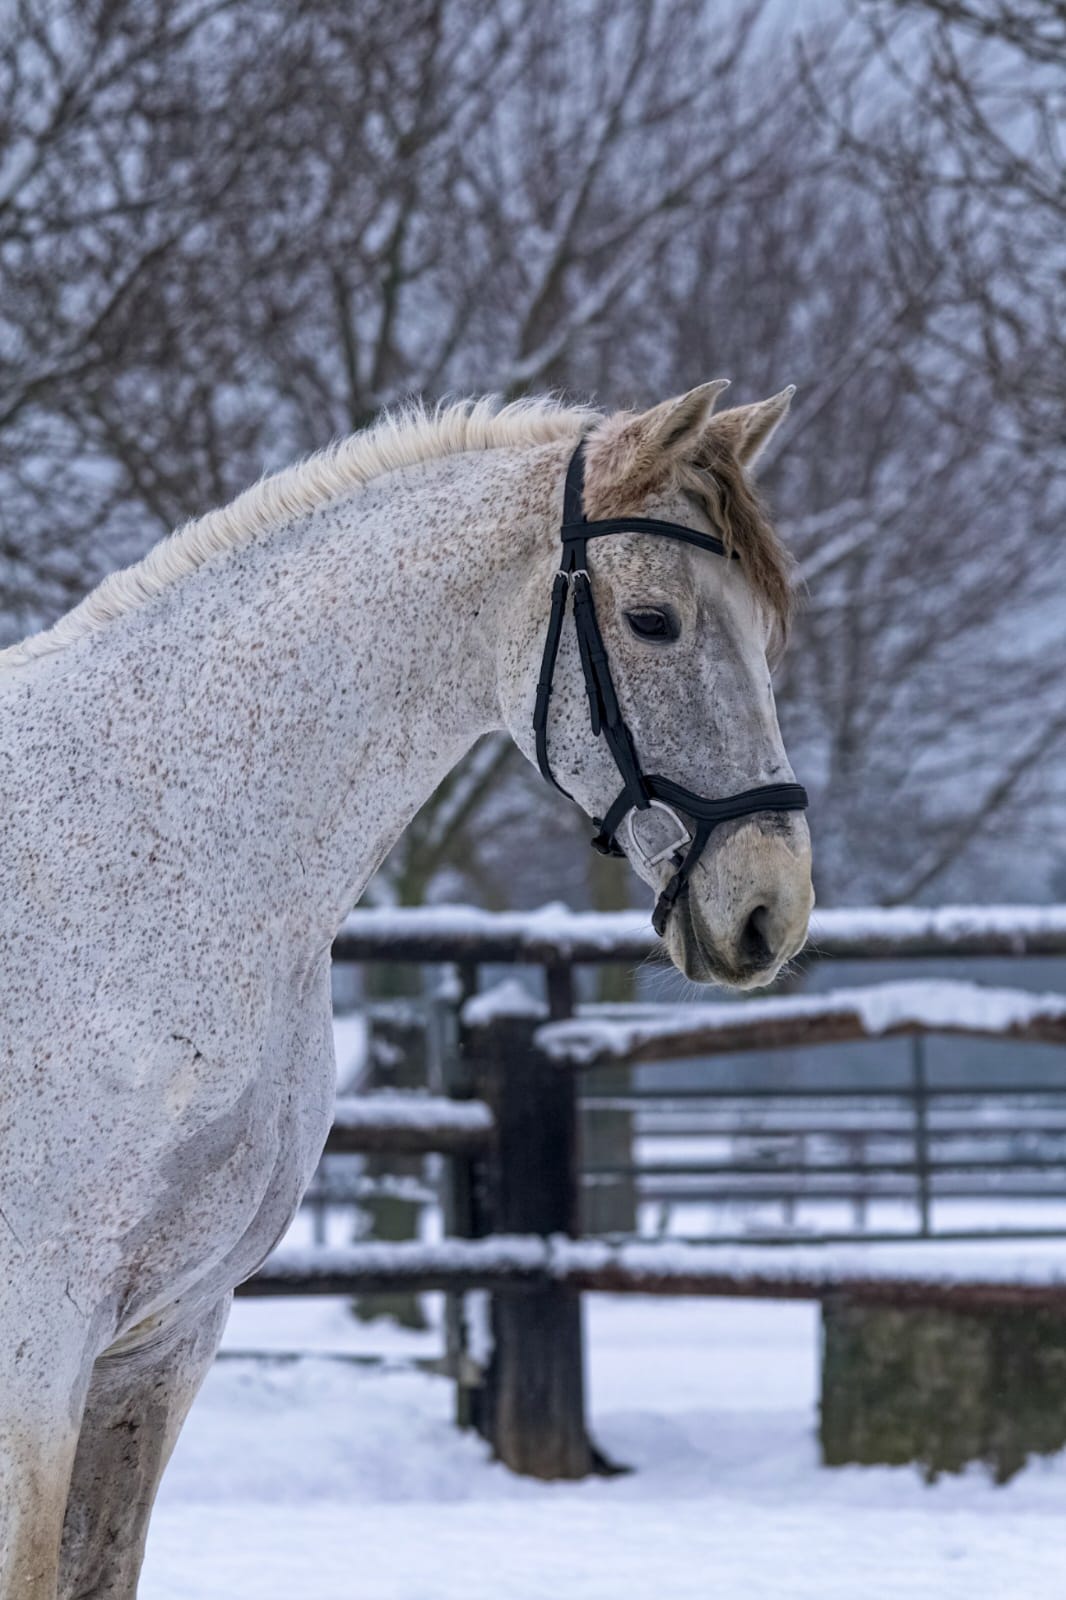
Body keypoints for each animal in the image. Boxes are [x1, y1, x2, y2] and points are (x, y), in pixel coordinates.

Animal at [0, 383, 813, 1597]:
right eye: (654, 621)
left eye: (767, 634)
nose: (772, 910)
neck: (132, 853)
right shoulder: (38, 1341)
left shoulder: (162, 1341)